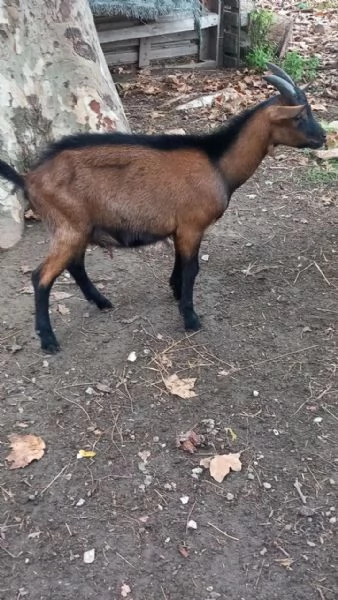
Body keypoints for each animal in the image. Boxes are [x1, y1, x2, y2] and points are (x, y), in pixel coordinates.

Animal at [0, 62, 328, 352]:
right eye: (299, 117)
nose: (323, 136)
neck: (217, 163)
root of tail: (29, 178)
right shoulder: (193, 225)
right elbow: (192, 268)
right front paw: (190, 317)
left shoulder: (180, 228)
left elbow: (180, 263)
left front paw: (175, 291)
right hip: (69, 226)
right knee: (41, 277)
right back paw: (48, 340)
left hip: (79, 228)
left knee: (75, 265)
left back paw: (102, 302)